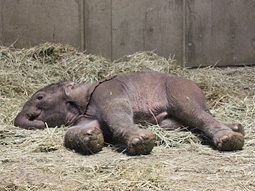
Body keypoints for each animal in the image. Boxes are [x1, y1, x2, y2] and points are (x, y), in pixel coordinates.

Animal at [14, 71, 245, 155]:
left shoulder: (108, 92)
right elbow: (81, 129)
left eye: (39, 97)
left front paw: (141, 141)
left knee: (192, 111)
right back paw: (236, 127)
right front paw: (92, 137)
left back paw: (230, 139)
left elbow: (115, 112)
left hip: (179, 89)